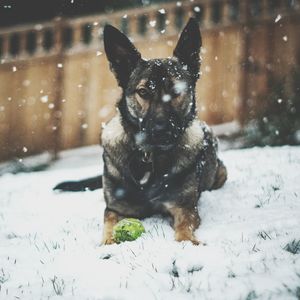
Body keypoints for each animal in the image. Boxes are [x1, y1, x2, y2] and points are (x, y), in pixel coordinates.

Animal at [54, 17, 227, 245]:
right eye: (143, 92)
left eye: (177, 91)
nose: (161, 131)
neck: (149, 157)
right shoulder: (115, 208)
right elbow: (109, 227)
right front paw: (107, 244)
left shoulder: (185, 208)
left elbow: (184, 228)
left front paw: (188, 243)